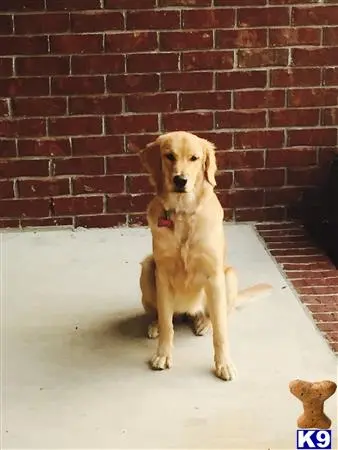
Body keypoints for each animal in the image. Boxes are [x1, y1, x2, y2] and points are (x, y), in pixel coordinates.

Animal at [137, 130, 272, 380]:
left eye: (194, 158)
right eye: (169, 156)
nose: (180, 180)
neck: (182, 213)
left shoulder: (214, 276)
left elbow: (221, 331)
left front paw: (224, 363)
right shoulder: (162, 274)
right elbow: (167, 325)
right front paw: (163, 354)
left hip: (229, 275)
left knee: (216, 313)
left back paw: (203, 321)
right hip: (147, 268)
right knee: (165, 315)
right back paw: (156, 324)